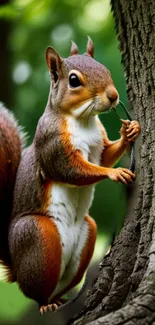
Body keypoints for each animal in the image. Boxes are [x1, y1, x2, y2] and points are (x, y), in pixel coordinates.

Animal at [0, 38, 140, 314]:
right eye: (74, 80)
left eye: (104, 68)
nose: (113, 96)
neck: (83, 120)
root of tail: (16, 273)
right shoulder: (52, 146)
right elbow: (73, 171)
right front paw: (115, 172)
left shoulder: (98, 145)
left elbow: (104, 157)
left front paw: (130, 130)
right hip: (37, 234)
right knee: (37, 292)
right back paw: (45, 305)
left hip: (88, 234)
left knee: (60, 285)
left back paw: (60, 301)